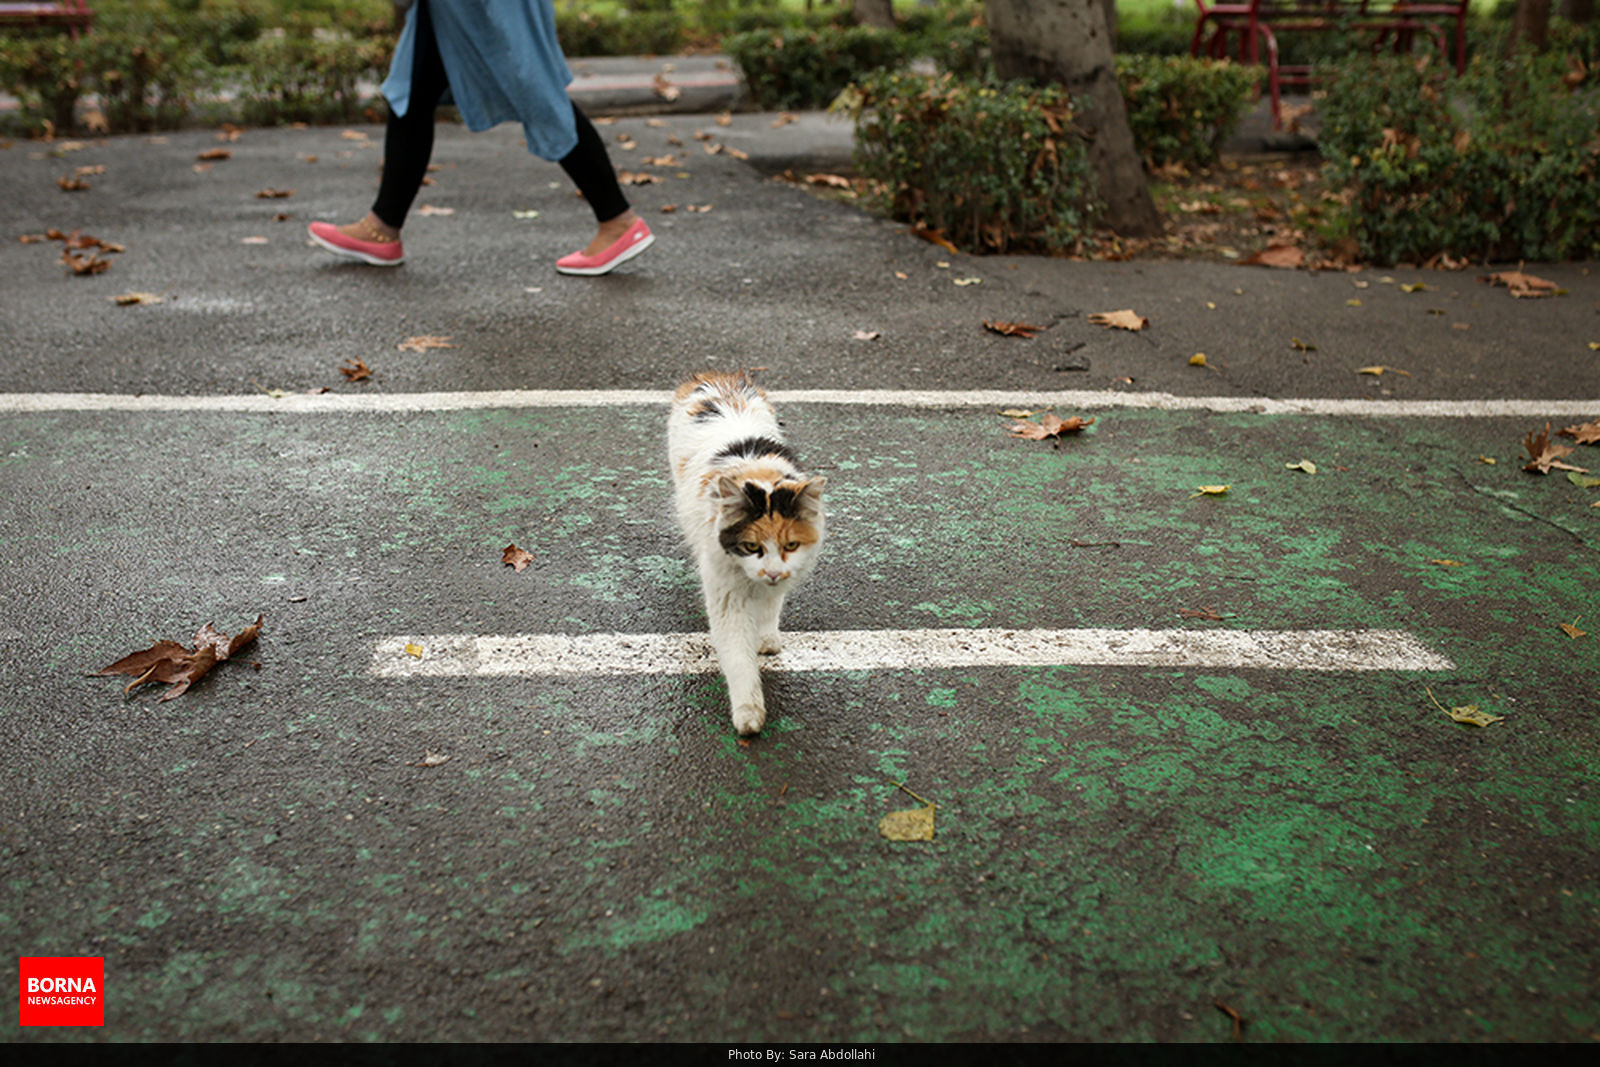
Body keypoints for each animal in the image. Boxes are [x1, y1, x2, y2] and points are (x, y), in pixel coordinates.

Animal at [668, 374, 832, 735]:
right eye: (752, 547)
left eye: (790, 546)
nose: (771, 573)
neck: (758, 474)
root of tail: (718, 377)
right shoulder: (726, 597)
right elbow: (739, 657)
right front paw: (749, 714)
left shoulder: (780, 581)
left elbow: (771, 608)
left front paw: (767, 639)